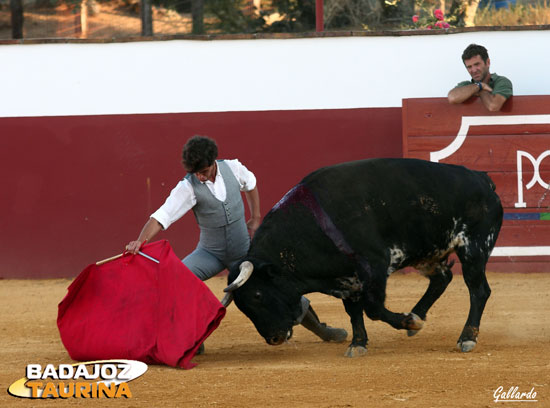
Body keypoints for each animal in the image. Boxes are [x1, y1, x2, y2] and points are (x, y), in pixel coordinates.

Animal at [224, 158, 504, 356]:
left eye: (257, 295)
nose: (273, 338)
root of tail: (482, 179)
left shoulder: (375, 265)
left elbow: (373, 308)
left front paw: (407, 322)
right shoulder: (347, 279)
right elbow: (353, 312)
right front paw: (359, 343)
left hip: (474, 248)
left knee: (478, 290)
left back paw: (466, 337)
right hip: (428, 253)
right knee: (442, 279)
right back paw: (418, 314)